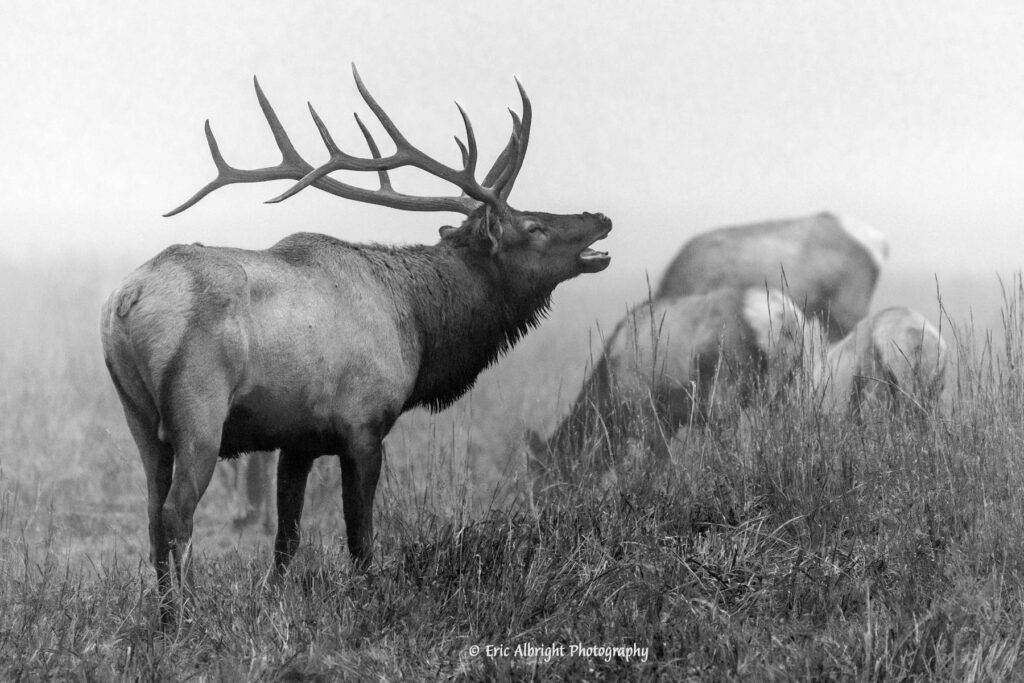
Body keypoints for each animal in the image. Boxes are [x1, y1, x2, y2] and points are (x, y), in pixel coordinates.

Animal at [101, 65, 611, 619]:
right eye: (534, 226)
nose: (600, 218)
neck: (419, 327)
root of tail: (124, 301)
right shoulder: (363, 425)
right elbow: (360, 538)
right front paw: (371, 597)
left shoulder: (297, 439)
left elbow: (287, 539)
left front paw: (274, 600)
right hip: (198, 411)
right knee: (176, 513)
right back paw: (184, 613)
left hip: (139, 418)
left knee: (152, 512)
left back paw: (165, 612)